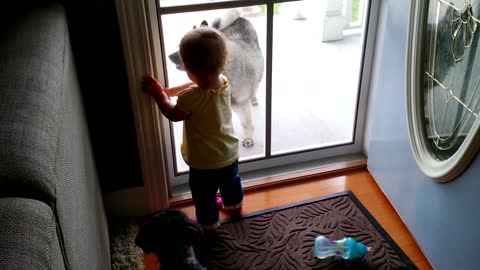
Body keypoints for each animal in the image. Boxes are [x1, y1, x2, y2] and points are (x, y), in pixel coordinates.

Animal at [169, 10, 264, 148]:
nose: (170, 56)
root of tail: (238, 18)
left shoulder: (242, 104)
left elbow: (246, 124)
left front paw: (248, 138)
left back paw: (254, 97)